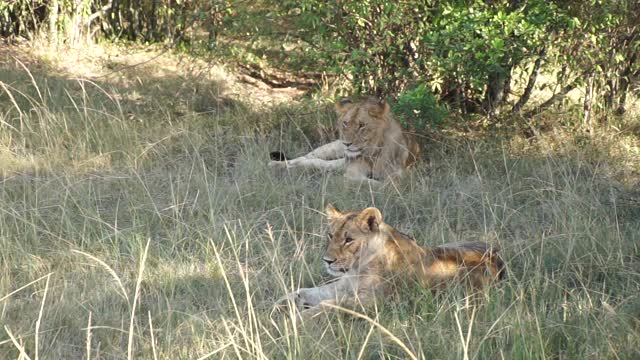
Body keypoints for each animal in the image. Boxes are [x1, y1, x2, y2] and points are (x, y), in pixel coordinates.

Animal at [268, 97, 420, 184]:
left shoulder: (399, 175)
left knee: (316, 163)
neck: (373, 152)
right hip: (330, 149)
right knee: (304, 158)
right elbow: (366, 182)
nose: (346, 143)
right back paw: (276, 165)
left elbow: (386, 183)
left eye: (361, 125)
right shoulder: (353, 171)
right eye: (345, 123)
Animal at [278, 205, 508, 318]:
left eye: (348, 240)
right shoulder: (342, 286)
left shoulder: (375, 302)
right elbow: (305, 291)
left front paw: (295, 321)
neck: (357, 268)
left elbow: (329, 306)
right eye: (330, 235)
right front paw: (278, 305)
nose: (327, 261)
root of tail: (497, 256)